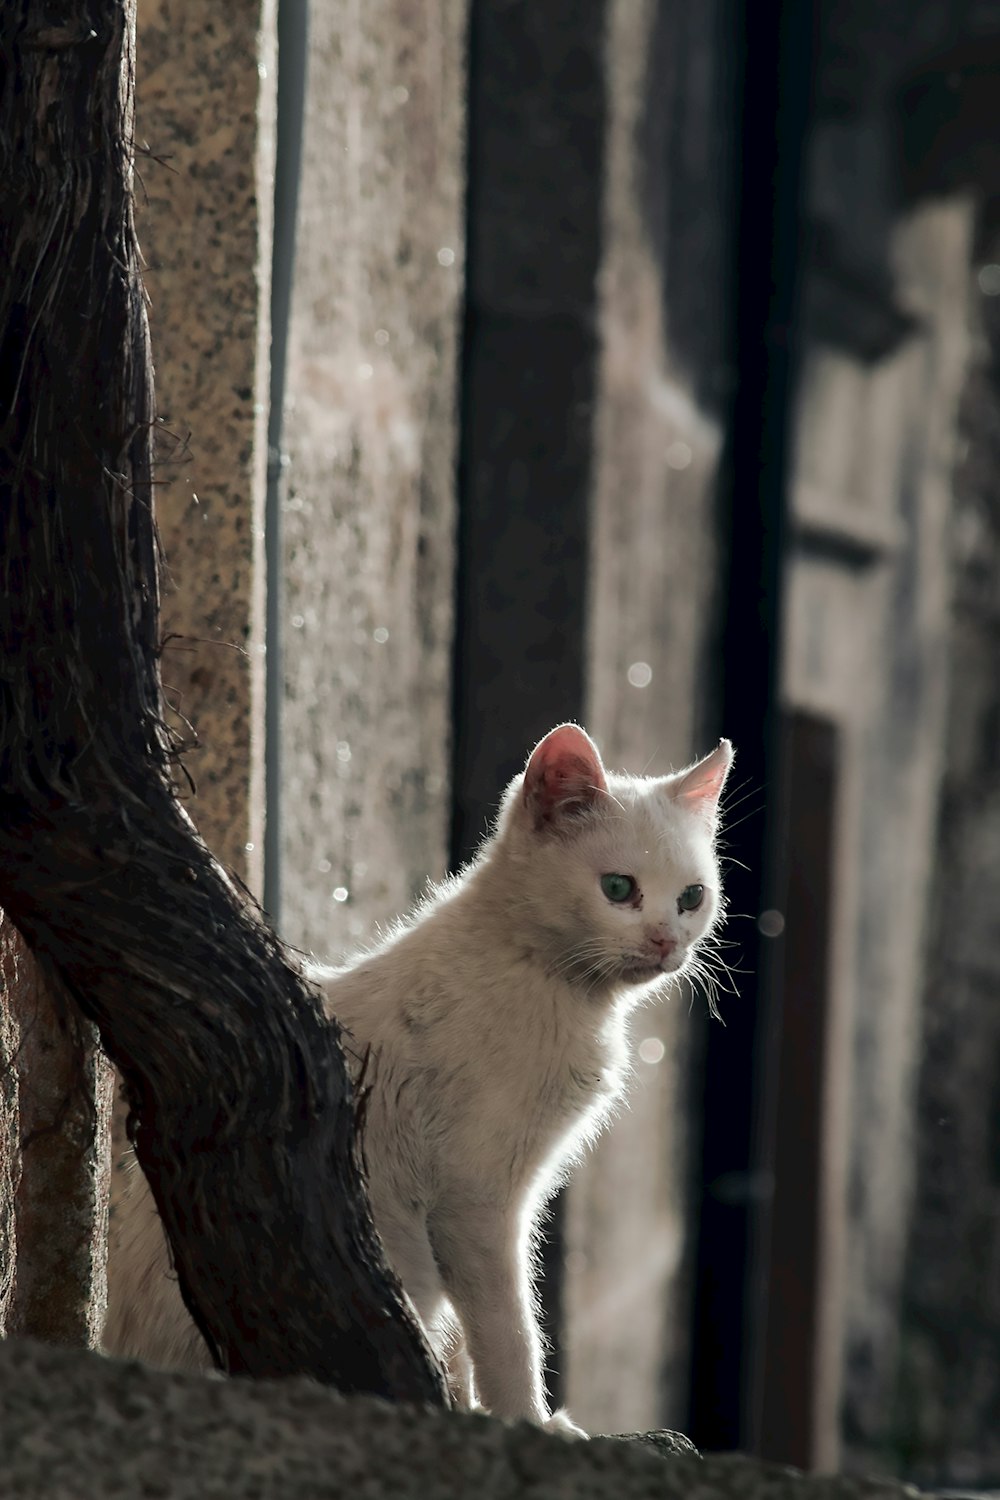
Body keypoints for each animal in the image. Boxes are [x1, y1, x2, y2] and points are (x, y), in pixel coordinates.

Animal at [101, 726, 731, 1440]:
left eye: (691, 897)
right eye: (619, 888)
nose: (666, 941)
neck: (541, 975)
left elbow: (467, 1339)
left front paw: (468, 1402)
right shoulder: (473, 1198)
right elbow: (508, 1330)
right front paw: (527, 1419)